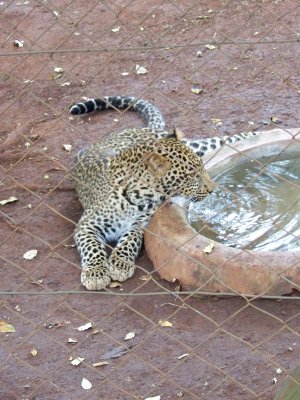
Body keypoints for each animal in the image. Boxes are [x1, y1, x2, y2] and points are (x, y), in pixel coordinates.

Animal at [69, 97, 258, 290]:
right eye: (191, 176)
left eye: (202, 169)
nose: (213, 189)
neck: (138, 198)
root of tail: (139, 131)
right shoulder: (86, 225)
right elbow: (92, 247)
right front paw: (95, 273)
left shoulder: (139, 225)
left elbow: (130, 241)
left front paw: (119, 263)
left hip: (194, 144)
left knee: (218, 140)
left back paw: (259, 134)